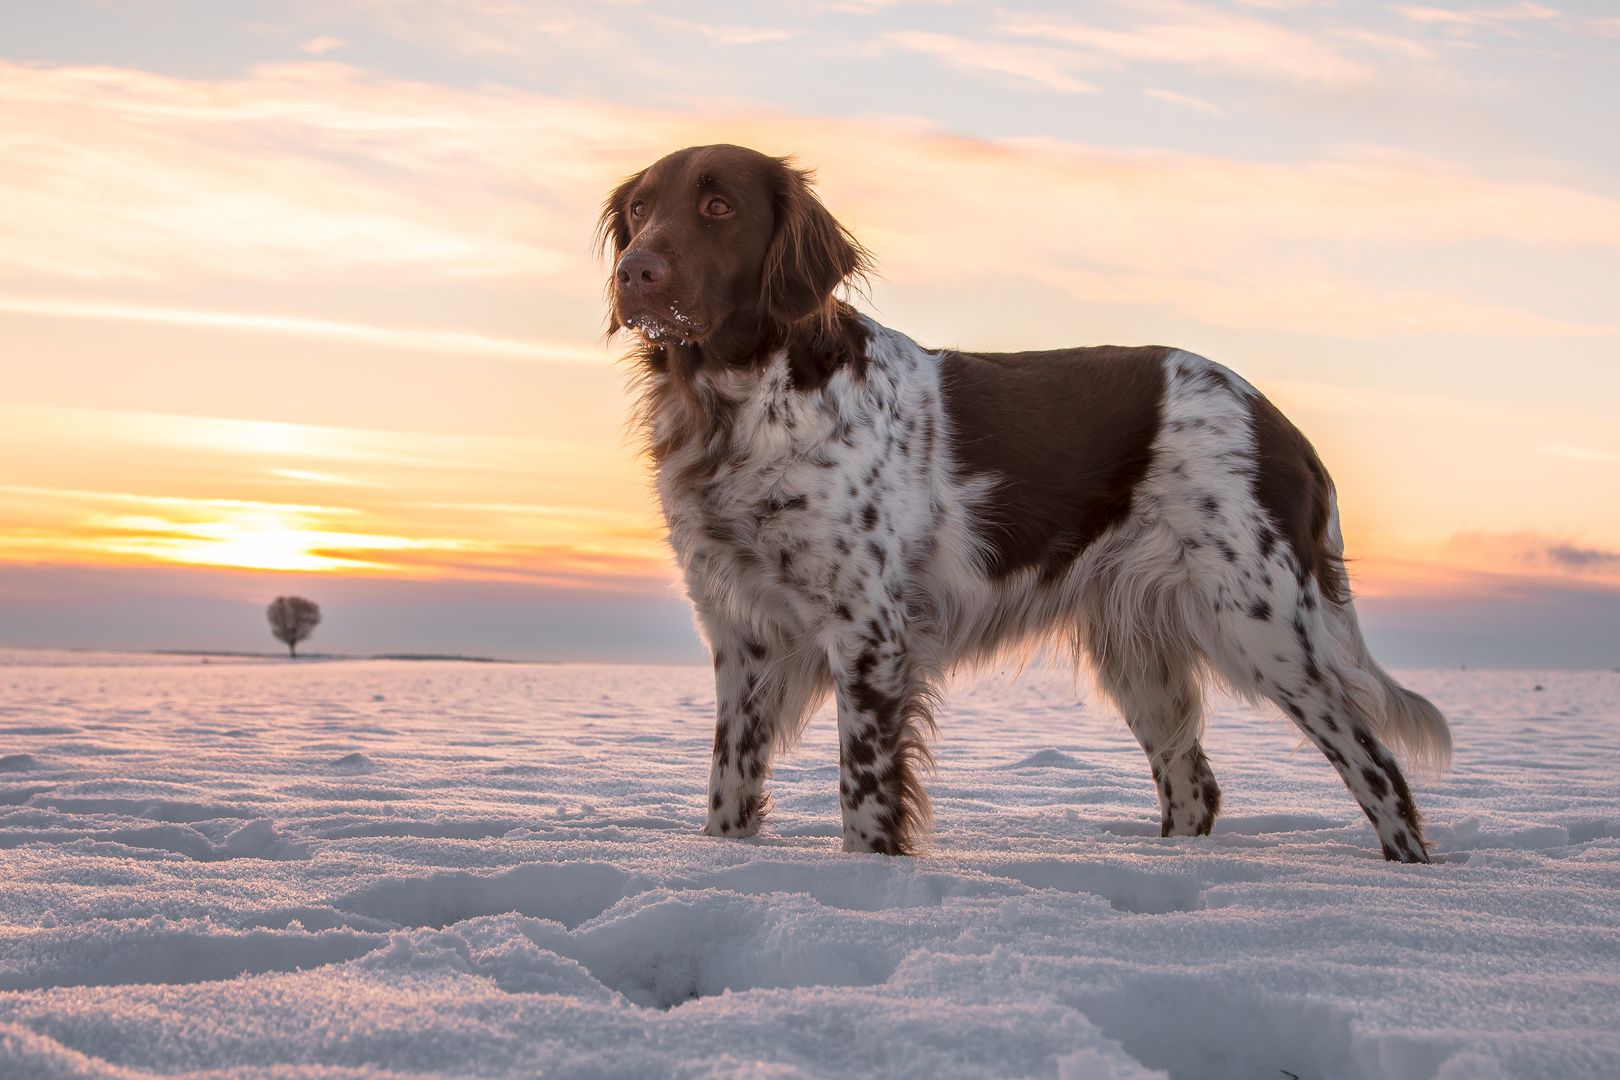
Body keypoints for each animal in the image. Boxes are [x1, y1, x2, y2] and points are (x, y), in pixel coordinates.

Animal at [599, 141, 1458, 861]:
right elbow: (729, 788)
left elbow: (865, 800)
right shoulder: (742, 635)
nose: (635, 272)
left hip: (1264, 626)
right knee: (1195, 784)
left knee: (1378, 767)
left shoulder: (870, 632)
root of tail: (1280, 422)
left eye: (719, 206)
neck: (741, 402)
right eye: (639, 209)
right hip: (1136, 647)